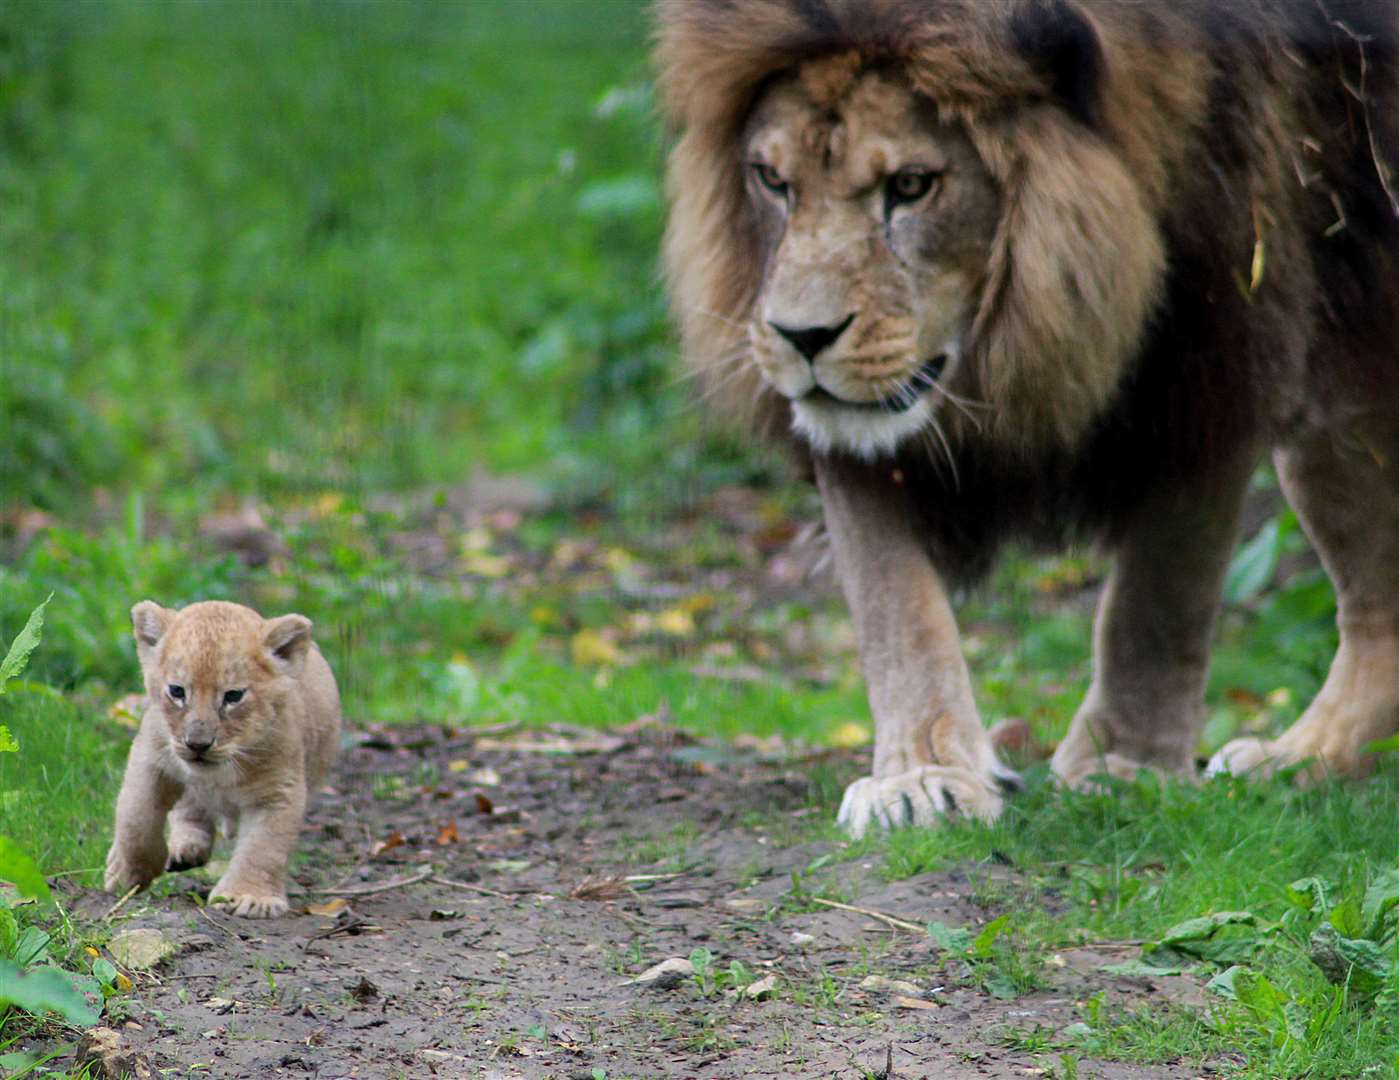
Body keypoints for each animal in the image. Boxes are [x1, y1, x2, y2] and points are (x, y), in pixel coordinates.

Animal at [654, 0, 1399, 833]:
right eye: (771, 180)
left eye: (910, 185)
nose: (801, 337)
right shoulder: (858, 421)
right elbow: (891, 596)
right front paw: (924, 777)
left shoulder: (1217, 340)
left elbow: (1161, 591)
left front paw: (1124, 767)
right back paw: (1303, 761)